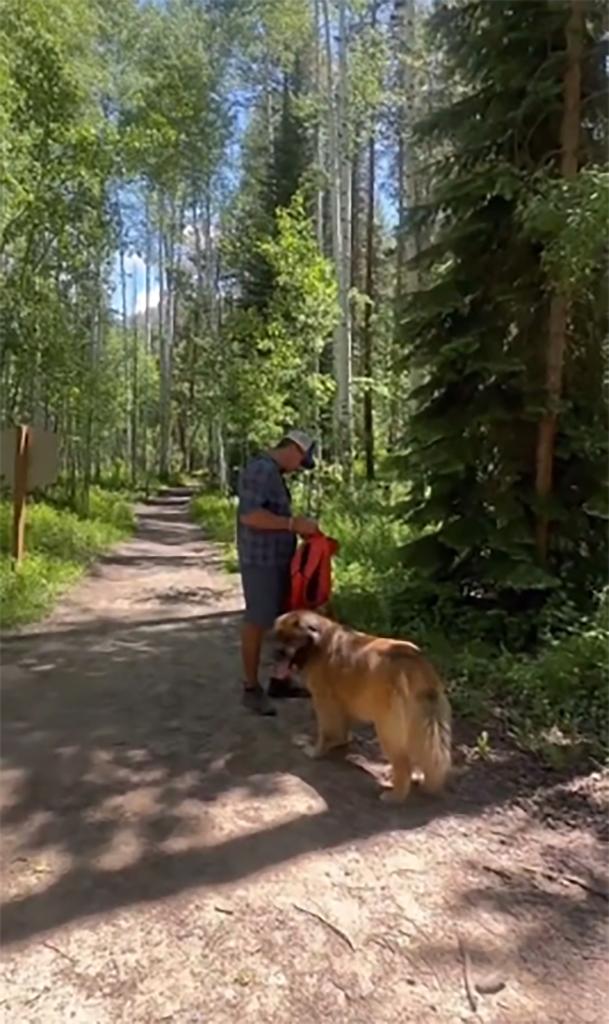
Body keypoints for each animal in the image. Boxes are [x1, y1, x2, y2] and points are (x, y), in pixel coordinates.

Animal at [274, 610, 450, 802]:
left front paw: (315, 751)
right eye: (278, 637)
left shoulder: (324, 701)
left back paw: (395, 794)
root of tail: (415, 664)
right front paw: (340, 742)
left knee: (403, 763)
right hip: (415, 723)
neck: (320, 644)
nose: (277, 653)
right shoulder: (343, 702)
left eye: (290, 639)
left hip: (386, 727)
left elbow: (326, 732)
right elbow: (342, 730)